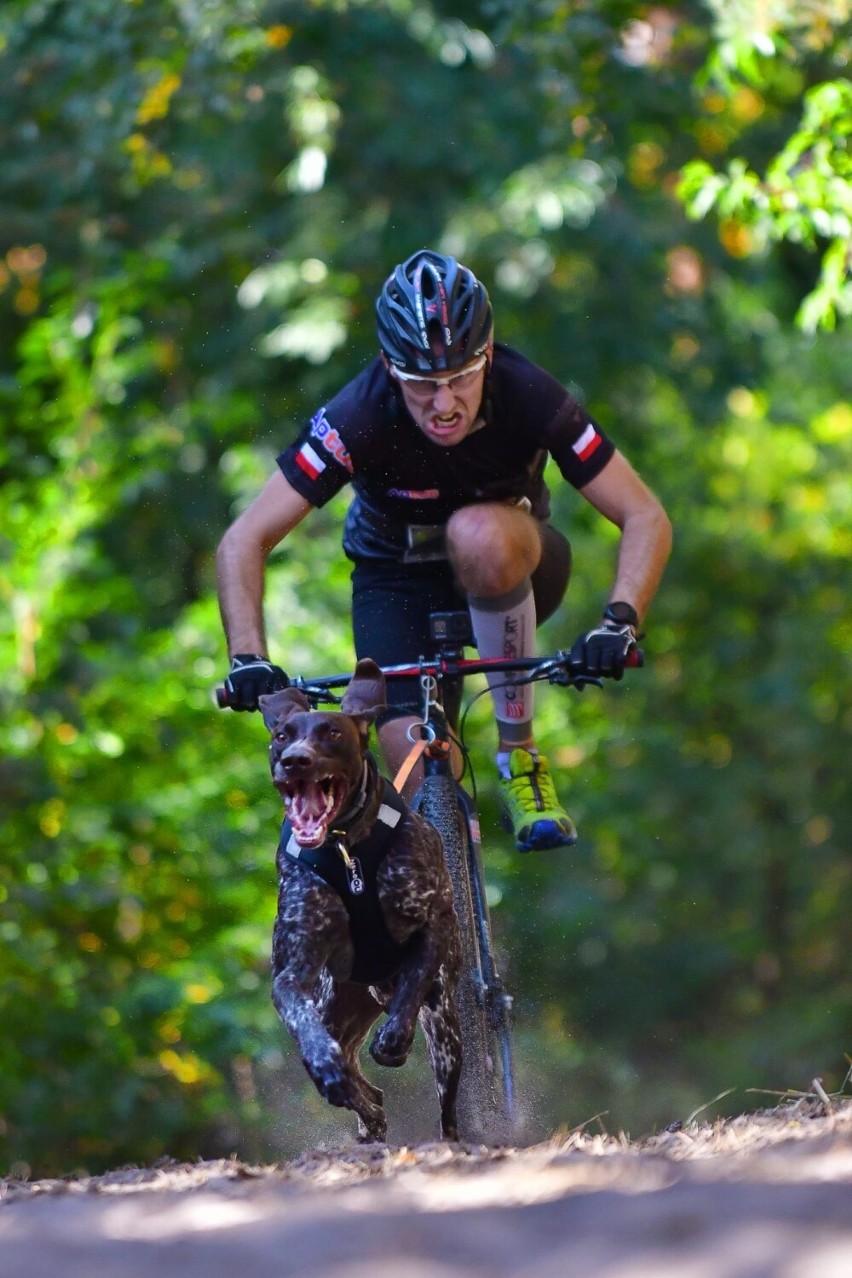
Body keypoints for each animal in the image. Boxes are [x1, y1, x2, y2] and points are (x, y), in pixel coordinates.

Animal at [258, 664, 459, 1145]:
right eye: (281, 736)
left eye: (332, 732)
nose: (294, 759)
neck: (348, 848)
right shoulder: (292, 972)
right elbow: (306, 1028)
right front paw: (327, 1066)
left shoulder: (435, 923)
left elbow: (415, 979)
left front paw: (394, 1039)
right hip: (336, 1008)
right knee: (364, 1088)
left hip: (444, 1029)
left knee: (447, 1110)